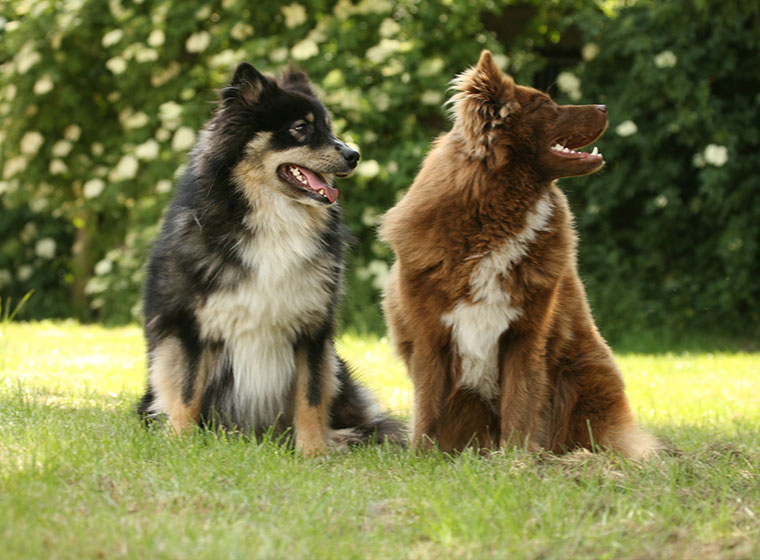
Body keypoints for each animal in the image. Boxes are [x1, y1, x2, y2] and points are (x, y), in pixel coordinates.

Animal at [140, 62, 406, 456]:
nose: (354, 155)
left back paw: (343, 437)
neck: (274, 219)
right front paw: (183, 444)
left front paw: (313, 452)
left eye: (329, 127)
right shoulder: (190, 325)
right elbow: (187, 392)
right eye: (301, 128)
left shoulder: (312, 329)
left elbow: (311, 396)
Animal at [382, 50, 656, 458]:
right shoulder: (430, 337)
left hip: (584, 373)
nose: (605, 106)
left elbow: (519, 401)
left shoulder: (526, 335)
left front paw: (514, 459)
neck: (495, 213)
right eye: (545, 105)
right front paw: (423, 458)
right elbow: (428, 407)